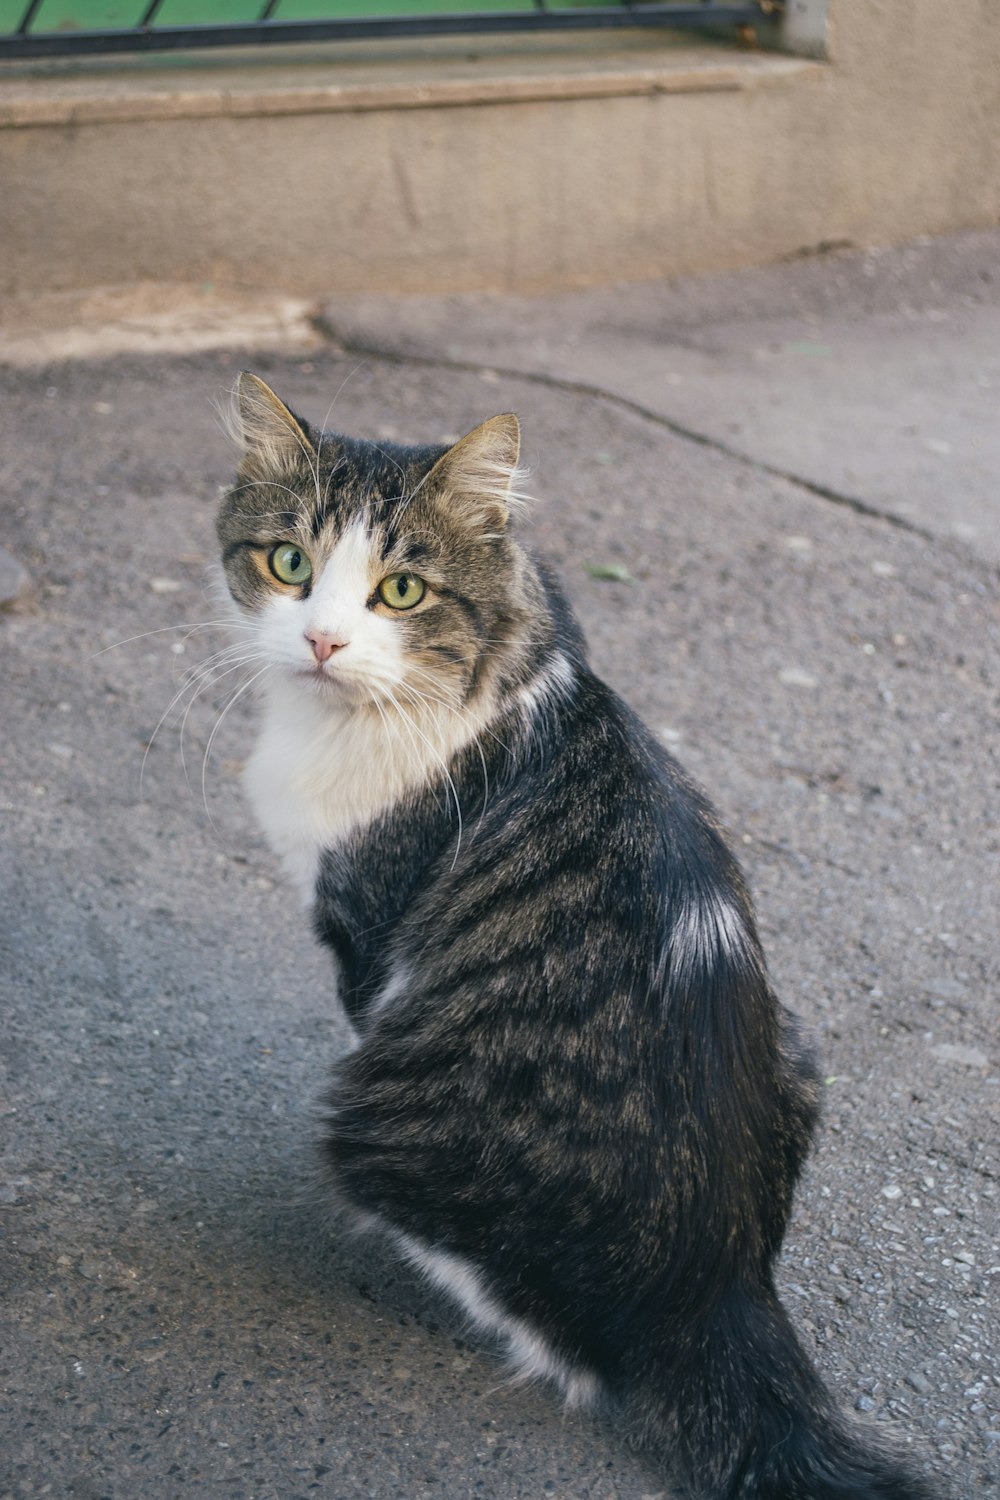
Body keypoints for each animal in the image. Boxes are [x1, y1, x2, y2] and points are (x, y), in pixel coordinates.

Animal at [217, 372, 941, 1500]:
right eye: (288, 563)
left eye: (400, 592)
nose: (320, 643)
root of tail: (719, 1289)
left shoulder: (370, 934)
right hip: (798, 1047)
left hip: (380, 1124)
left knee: (568, 1347)